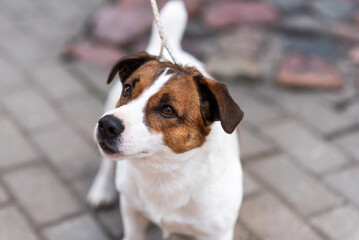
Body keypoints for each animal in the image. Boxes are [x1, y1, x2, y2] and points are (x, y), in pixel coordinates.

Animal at [87, 0, 245, 239]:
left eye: (168, 110)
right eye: (128, 89)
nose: (107, 125)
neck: (164, 172)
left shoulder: (217, 231)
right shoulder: (132, 211)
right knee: (106, 165)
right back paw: (101, 190)